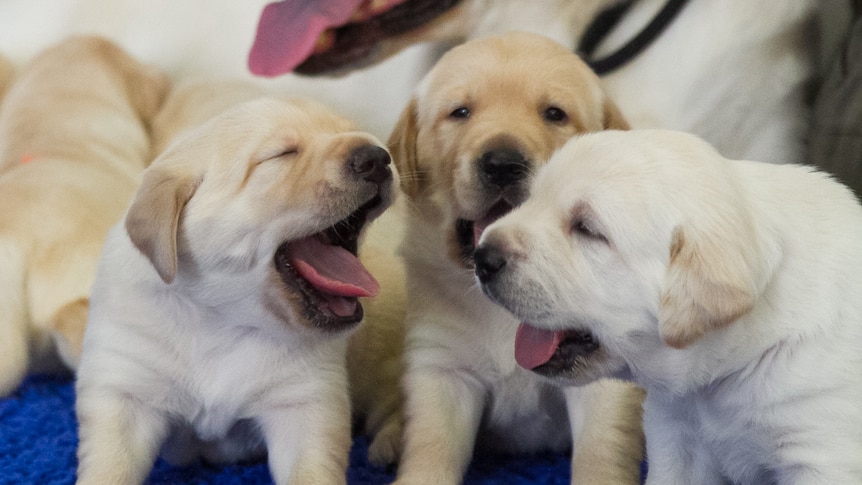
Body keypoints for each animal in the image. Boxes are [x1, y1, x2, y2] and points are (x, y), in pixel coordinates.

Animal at [74, 96, 398, 482]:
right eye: (281, 154)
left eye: (351, 130)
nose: (378, 157)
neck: (224, 319)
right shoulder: (125, 390)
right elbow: (110, 468)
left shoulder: (305, 402)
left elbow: (311, 470)